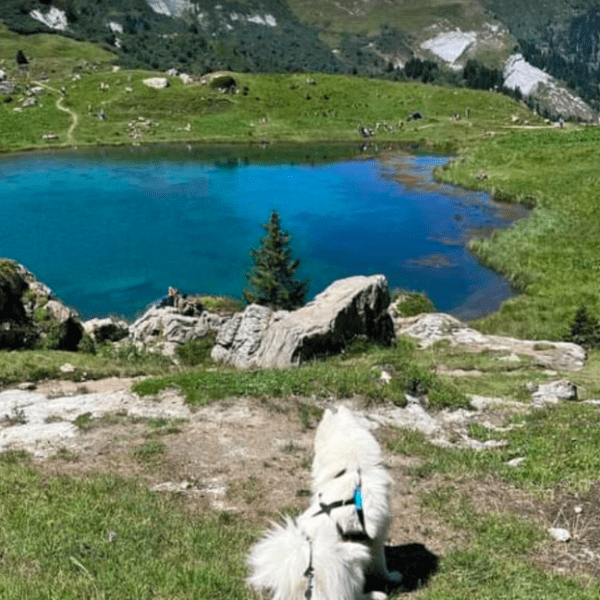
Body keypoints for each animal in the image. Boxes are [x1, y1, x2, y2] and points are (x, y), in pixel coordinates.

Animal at [246, 406, 400, 596]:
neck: (353, 467)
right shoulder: (378, 533)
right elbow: (381, 564)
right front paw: (392, 577)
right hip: (353, 557)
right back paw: (375, 595)